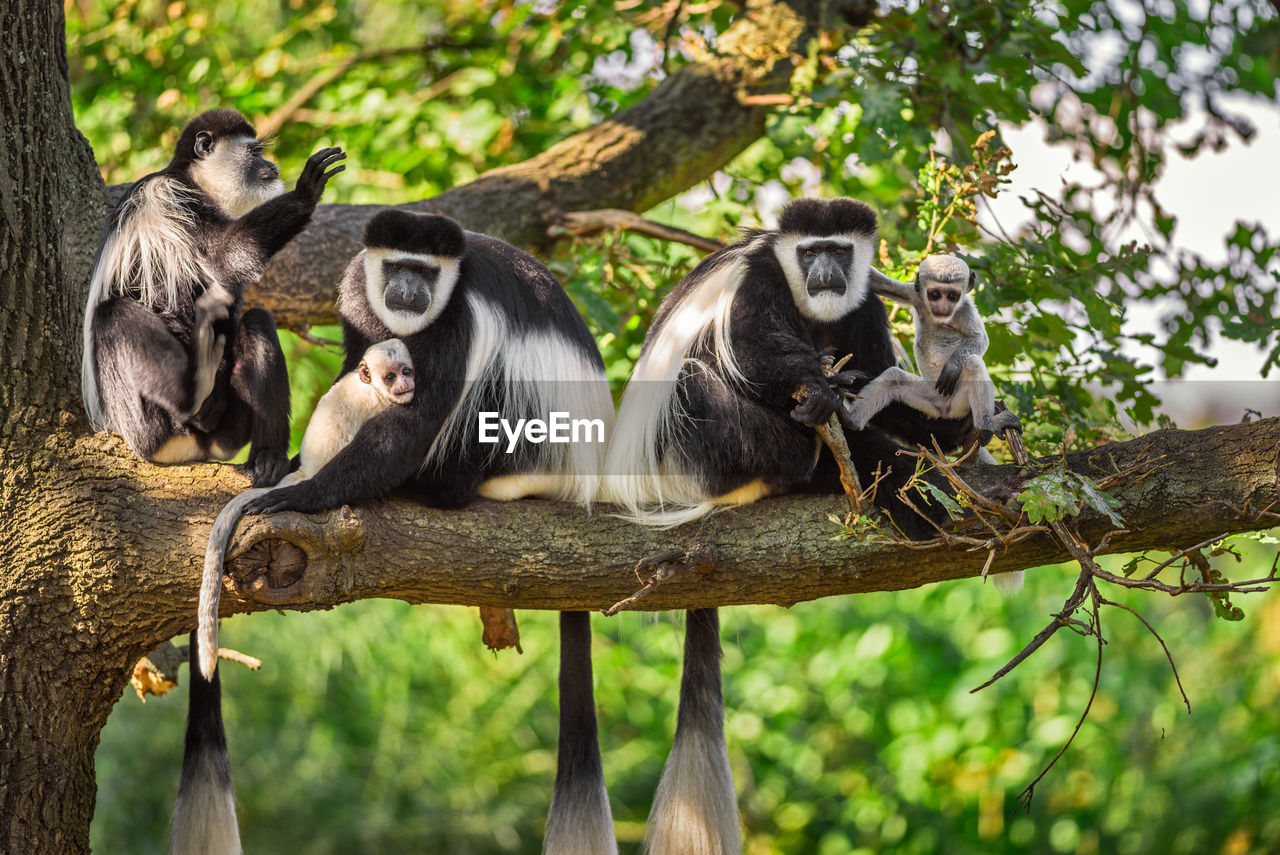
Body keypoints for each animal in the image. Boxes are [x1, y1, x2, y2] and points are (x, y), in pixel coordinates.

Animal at [82, 107, 348, 483]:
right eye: (255, 152)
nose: (272, 165)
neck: (194, 182)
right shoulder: (172, 199)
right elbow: (222, 258)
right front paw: (305, 192)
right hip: (143, 421)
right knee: (115, 314)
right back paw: (193, 398)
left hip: (229, 429)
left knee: (256, 321)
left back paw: (267, 458)